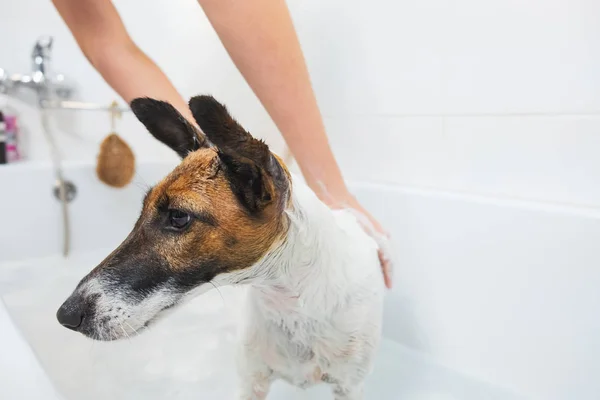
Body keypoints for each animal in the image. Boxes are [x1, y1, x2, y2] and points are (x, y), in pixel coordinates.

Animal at [56, 95, 384, 398]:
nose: (64, 315)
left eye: (178, 217)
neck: (293, 302)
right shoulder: (252, 380)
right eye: (142, 210)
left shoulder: (349, 386)